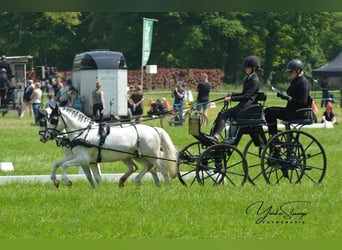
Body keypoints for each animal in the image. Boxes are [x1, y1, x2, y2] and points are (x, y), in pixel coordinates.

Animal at [38, 105, 179, 188]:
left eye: (53, 119)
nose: (44, 137)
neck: (82, 132)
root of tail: (154, 129)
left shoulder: (82, 159)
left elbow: (65, 165)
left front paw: (66, 181)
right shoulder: (87, 160)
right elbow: (58, 164)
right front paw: (55, 181)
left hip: (152, 155)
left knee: (162, 168)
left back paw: (166, 188)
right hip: (138, 156)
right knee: (148, 167)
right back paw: (139, 182)